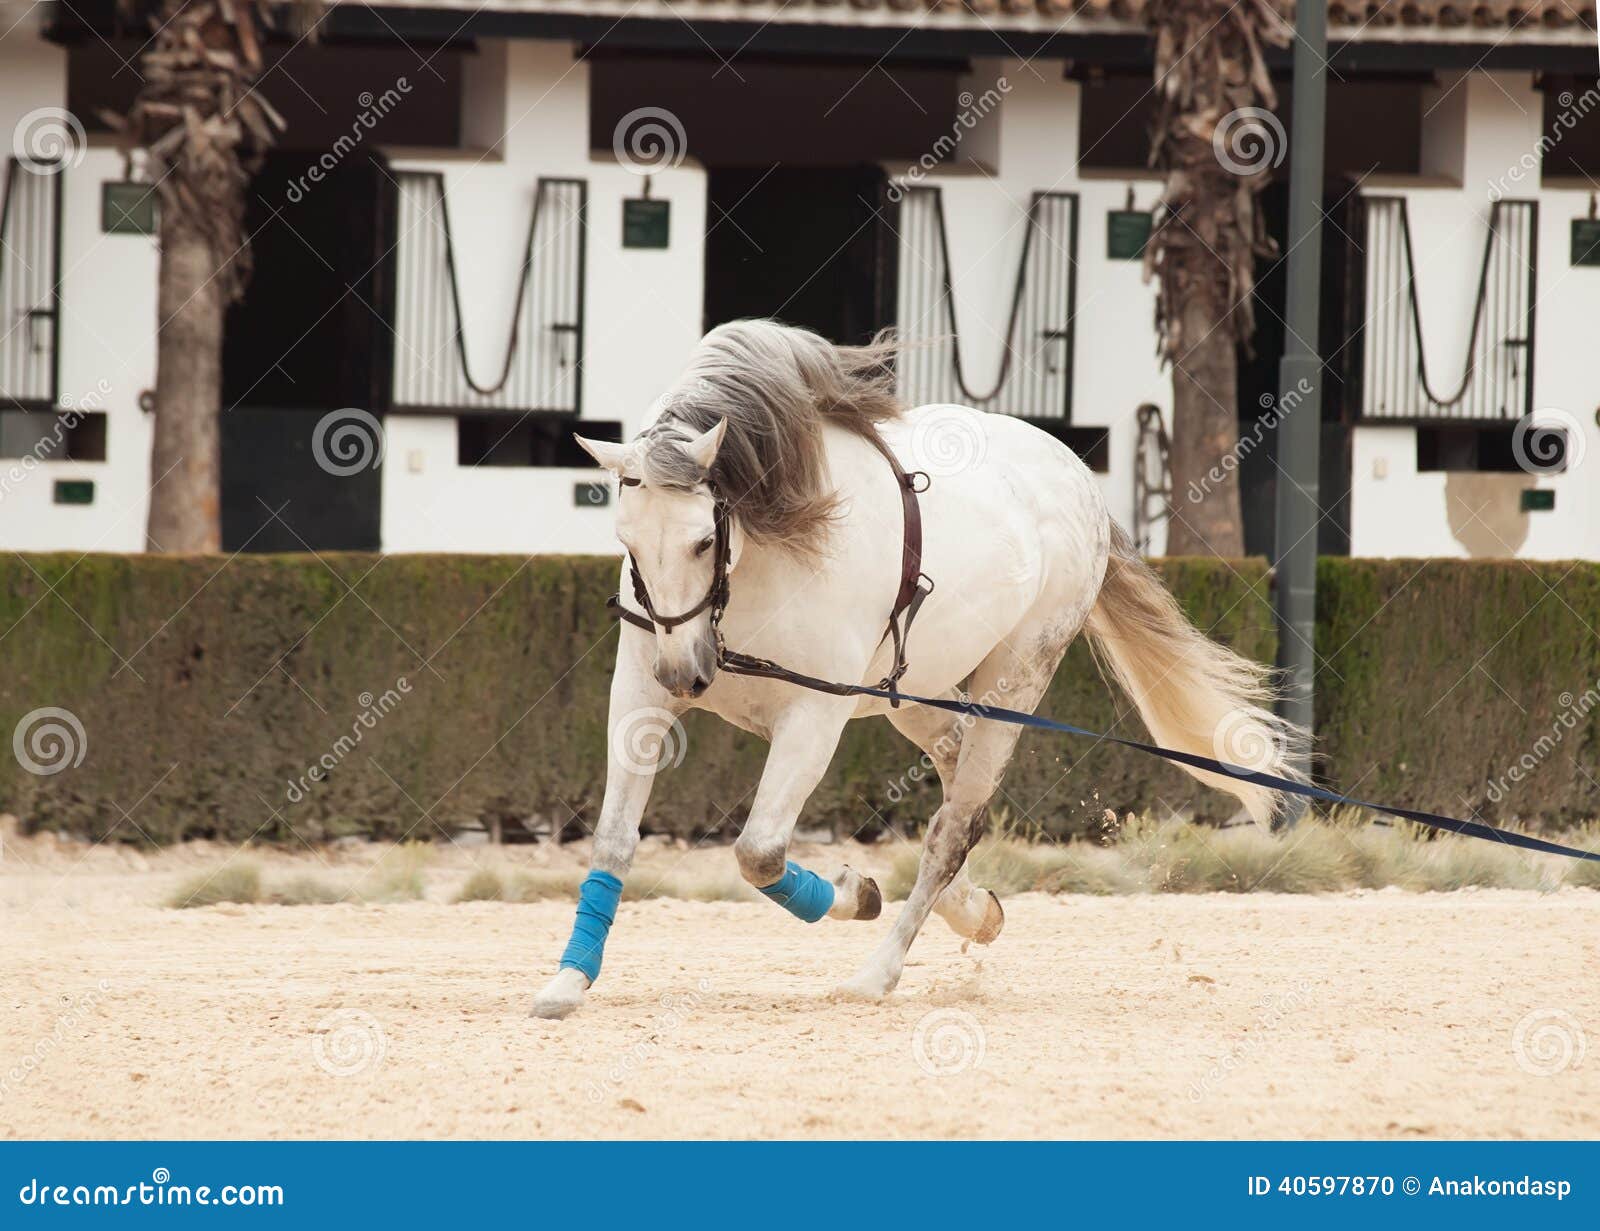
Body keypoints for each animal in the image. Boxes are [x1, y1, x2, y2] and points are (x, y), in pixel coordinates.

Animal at [531, 319, 1303, 1019]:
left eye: (700, 540)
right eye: (627, 539)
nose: (687, 676)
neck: (761, 558)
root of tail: (1079, 478)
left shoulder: (814, 718)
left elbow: (760, 853)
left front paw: (857, 892)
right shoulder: (639, 694)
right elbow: (614, 839)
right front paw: (569, 981)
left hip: (1013, 683)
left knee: (952, 827)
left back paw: (878, 973)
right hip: (916, 692)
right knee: (958, 785)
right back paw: (975, 912)